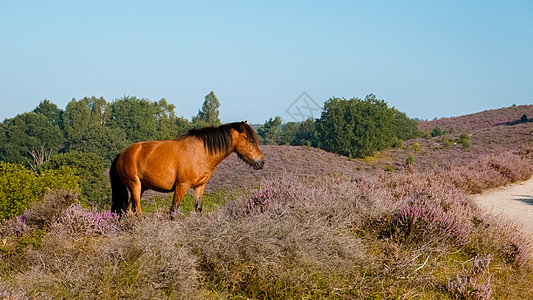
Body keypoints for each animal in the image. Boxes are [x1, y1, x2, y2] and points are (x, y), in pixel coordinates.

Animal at [110, 122, 264, 216]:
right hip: (135, 185)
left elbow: (198, 209)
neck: (200, 152)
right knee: (137, 210)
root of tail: (122, 154)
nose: (261, 162)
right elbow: (173, 210)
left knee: (129, 211)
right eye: (251, 141)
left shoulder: (200, 186)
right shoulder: (181, 186)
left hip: (141, 188)